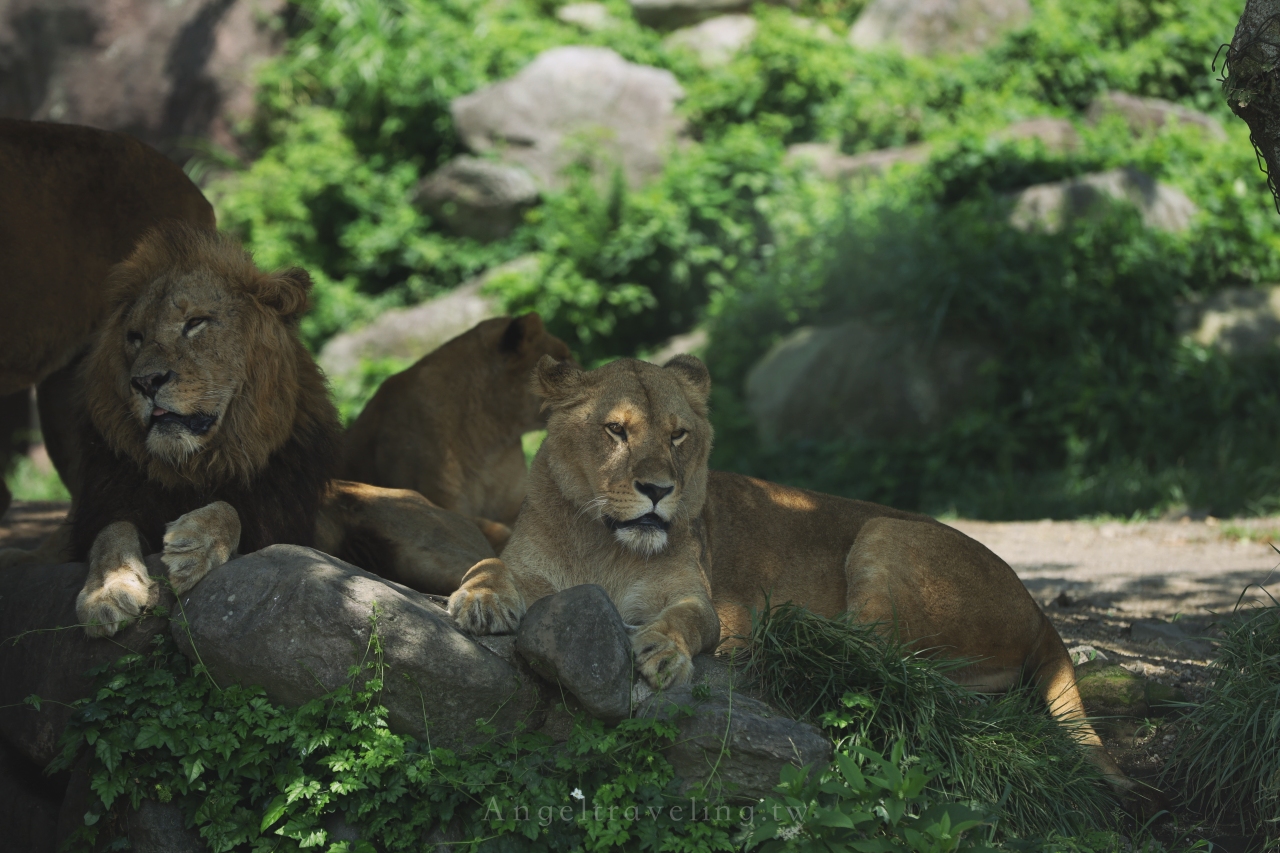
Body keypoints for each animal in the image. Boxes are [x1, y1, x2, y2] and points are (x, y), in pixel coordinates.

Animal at [450, 353, 1131, 788]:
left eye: (678, 436)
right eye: (615, 430)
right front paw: (480, 600)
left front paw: (662, 651)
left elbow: (685, 622)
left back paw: (777, 635)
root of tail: (1039, 610)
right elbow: (487, 561)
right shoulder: (530, 563)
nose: (658, 490)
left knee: (880, 661)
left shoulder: (700, 599)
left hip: (886, 531)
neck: (605, 545)